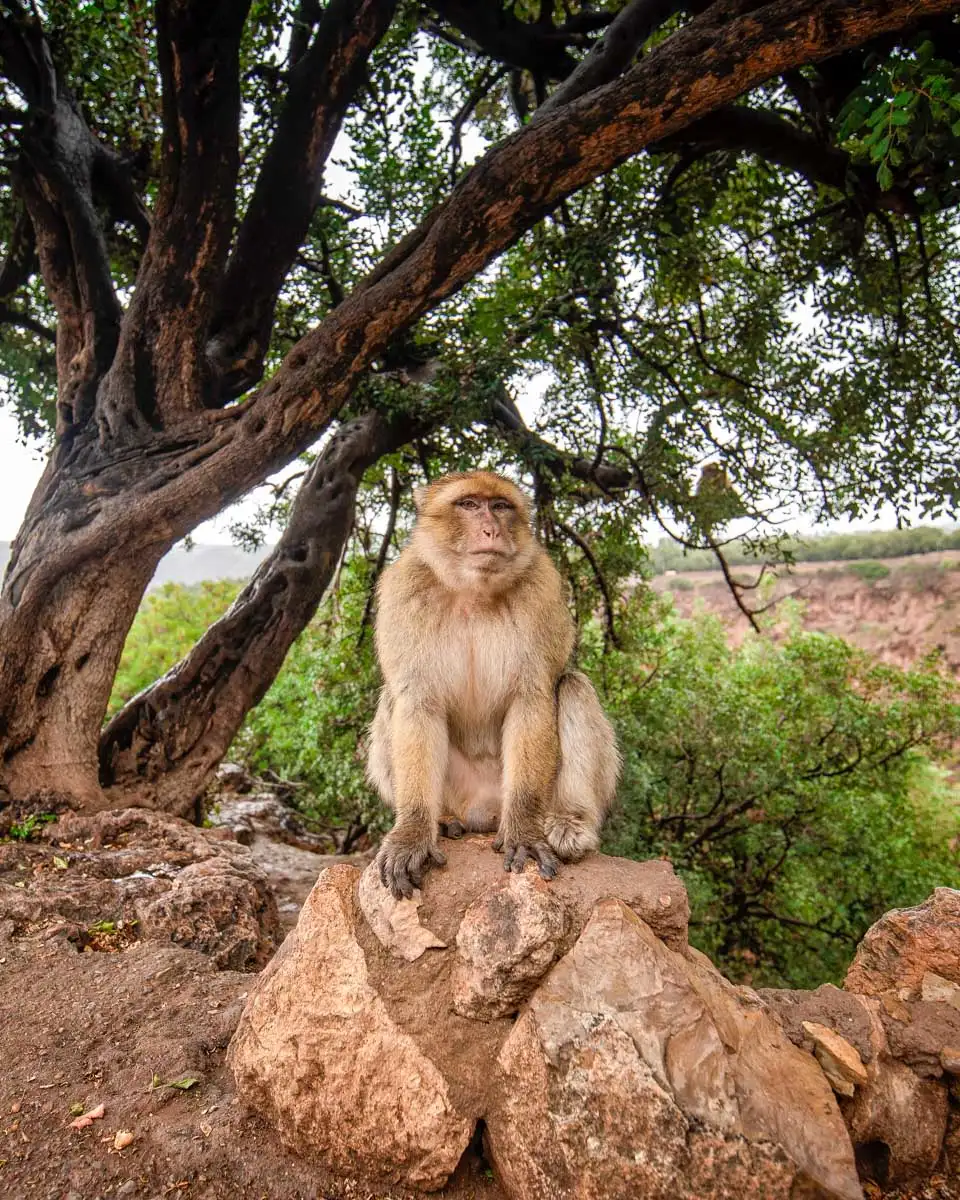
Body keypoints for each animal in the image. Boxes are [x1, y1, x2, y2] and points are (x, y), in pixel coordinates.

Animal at [367, 470, 621, 900]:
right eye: (469, 504)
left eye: (500, 506)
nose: (492, 530)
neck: (472, 590)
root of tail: (482, 812)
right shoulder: (405, 593)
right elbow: (417, 703)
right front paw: (412, 833)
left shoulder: (541, 591)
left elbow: (532, 698)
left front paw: (523, 832)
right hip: (457, 789)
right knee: (391, 700)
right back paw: (441, 820)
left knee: (573, 686)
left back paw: (569, 823)